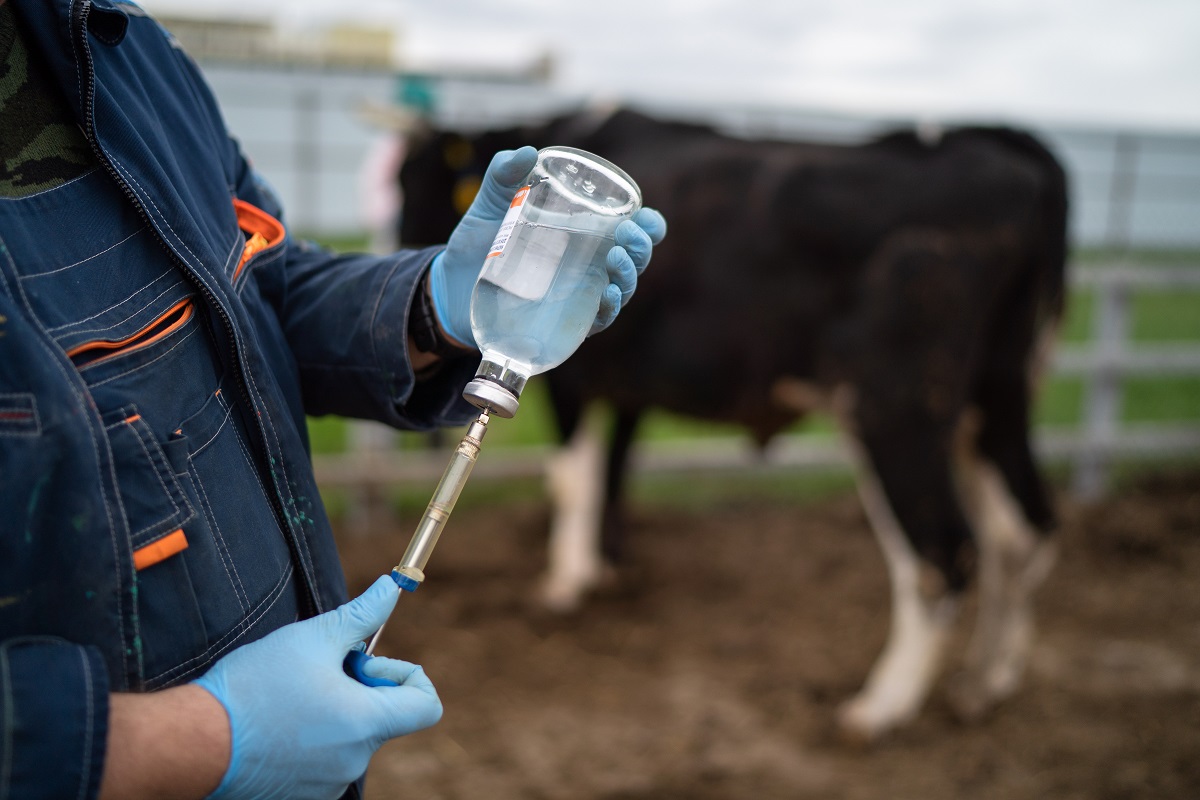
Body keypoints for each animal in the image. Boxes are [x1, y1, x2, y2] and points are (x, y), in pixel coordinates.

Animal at [400, 107, 1070, 743]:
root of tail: (995, 148)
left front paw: (565, 583)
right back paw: (984, 683)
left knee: (941, 552)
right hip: (997, 393)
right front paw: (610, 567)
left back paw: (880, 708)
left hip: (897, 403)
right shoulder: (629, 386)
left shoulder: (576, 379)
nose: (404, 241)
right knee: (1021, 528)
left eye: (418, 181)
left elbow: (573, 478)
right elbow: (615, 470)